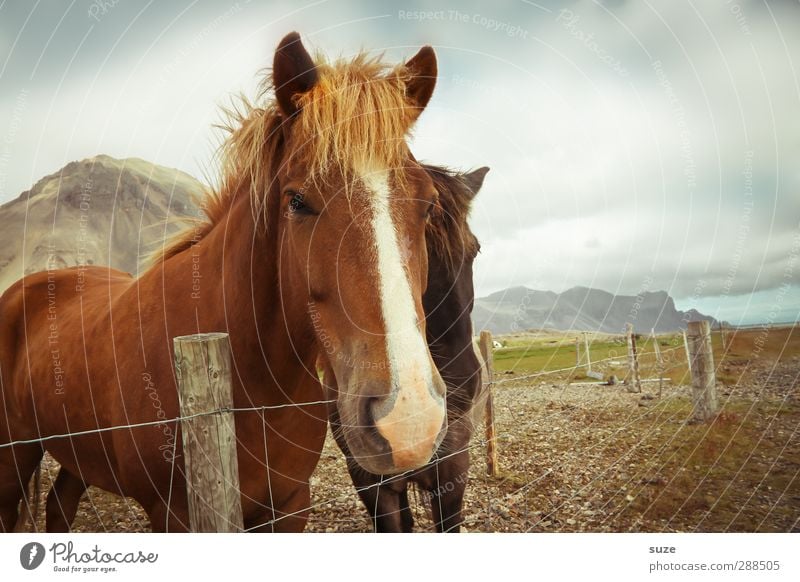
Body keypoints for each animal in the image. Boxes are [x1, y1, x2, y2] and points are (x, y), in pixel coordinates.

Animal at [0, 32, 450, 532]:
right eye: (296, 201)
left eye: (428, 204)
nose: (409, 418)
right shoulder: (175, 514)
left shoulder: (291, 503)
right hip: (14, 457)